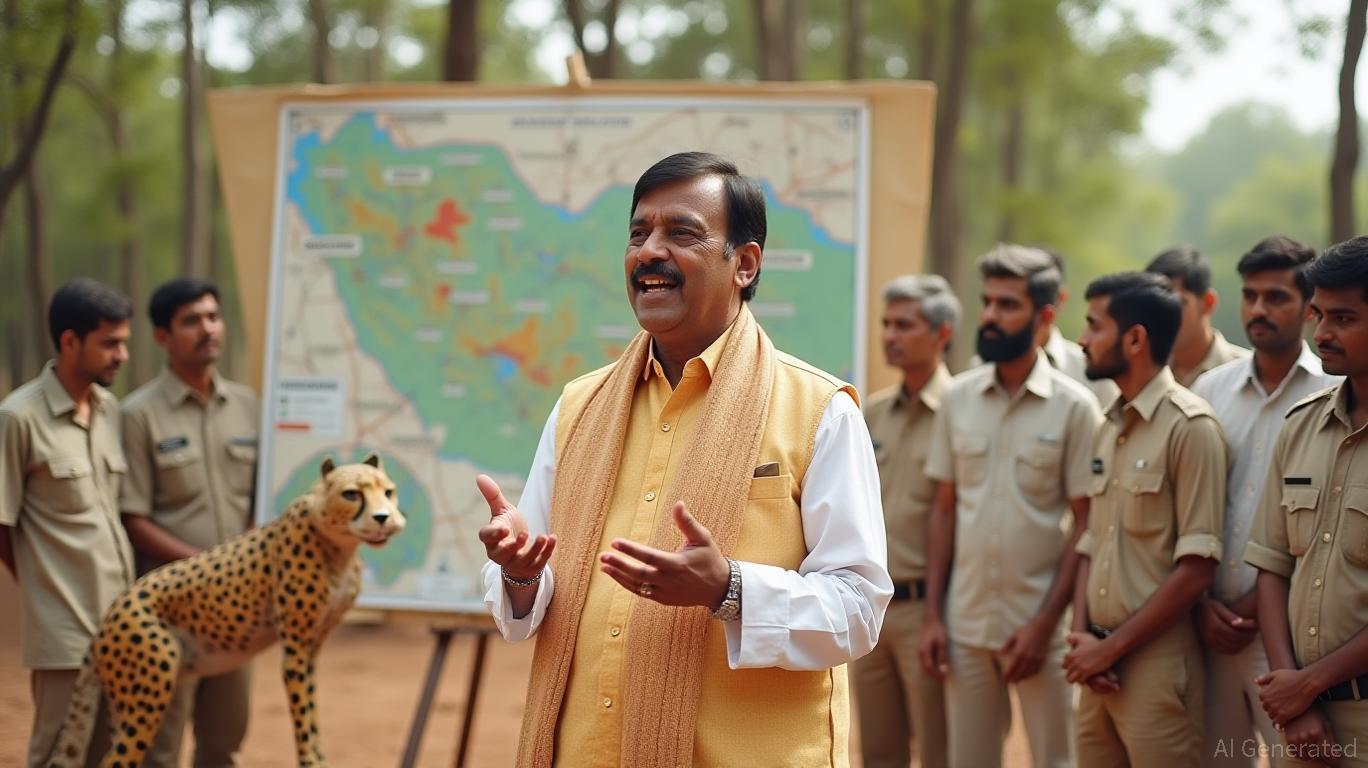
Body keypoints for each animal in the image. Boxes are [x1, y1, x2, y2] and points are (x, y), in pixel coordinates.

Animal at [46, 453, 406, 768]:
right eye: (352, 494)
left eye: (389, 492)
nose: (384, 518)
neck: (338, 546)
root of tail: (106, 619)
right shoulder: (295, 651)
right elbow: (303, 720)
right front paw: (310, 762)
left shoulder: (312, 648)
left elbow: (313, 716)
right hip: (150, 690)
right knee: (116, 761)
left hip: (126, 701)